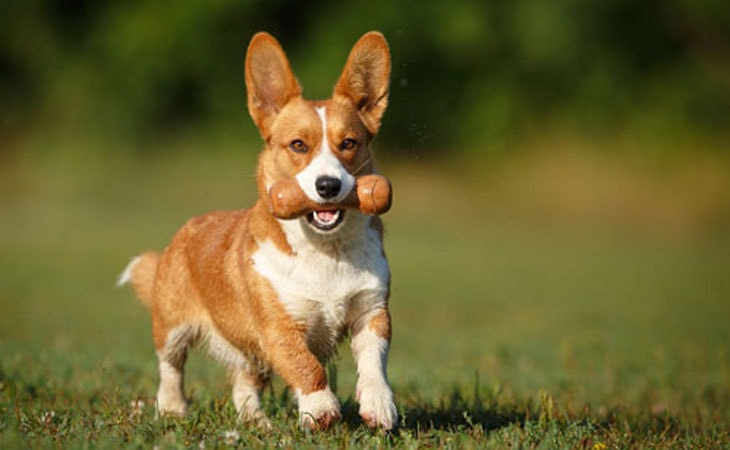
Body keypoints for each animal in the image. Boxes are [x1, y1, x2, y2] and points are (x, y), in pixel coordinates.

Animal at [117, 29, 396, 430]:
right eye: (298, 145)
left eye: (349, 143)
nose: (328, 186)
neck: (326, 250)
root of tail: (185, 230)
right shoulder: (278, 328)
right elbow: (306, 366)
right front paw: (320, 408)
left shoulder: (372, 312)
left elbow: (375, 362)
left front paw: (379, 406)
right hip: (171, 326)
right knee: (170, 367)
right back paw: (172, 408)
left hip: (247, 352)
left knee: (244, 384)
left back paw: (256, 422)